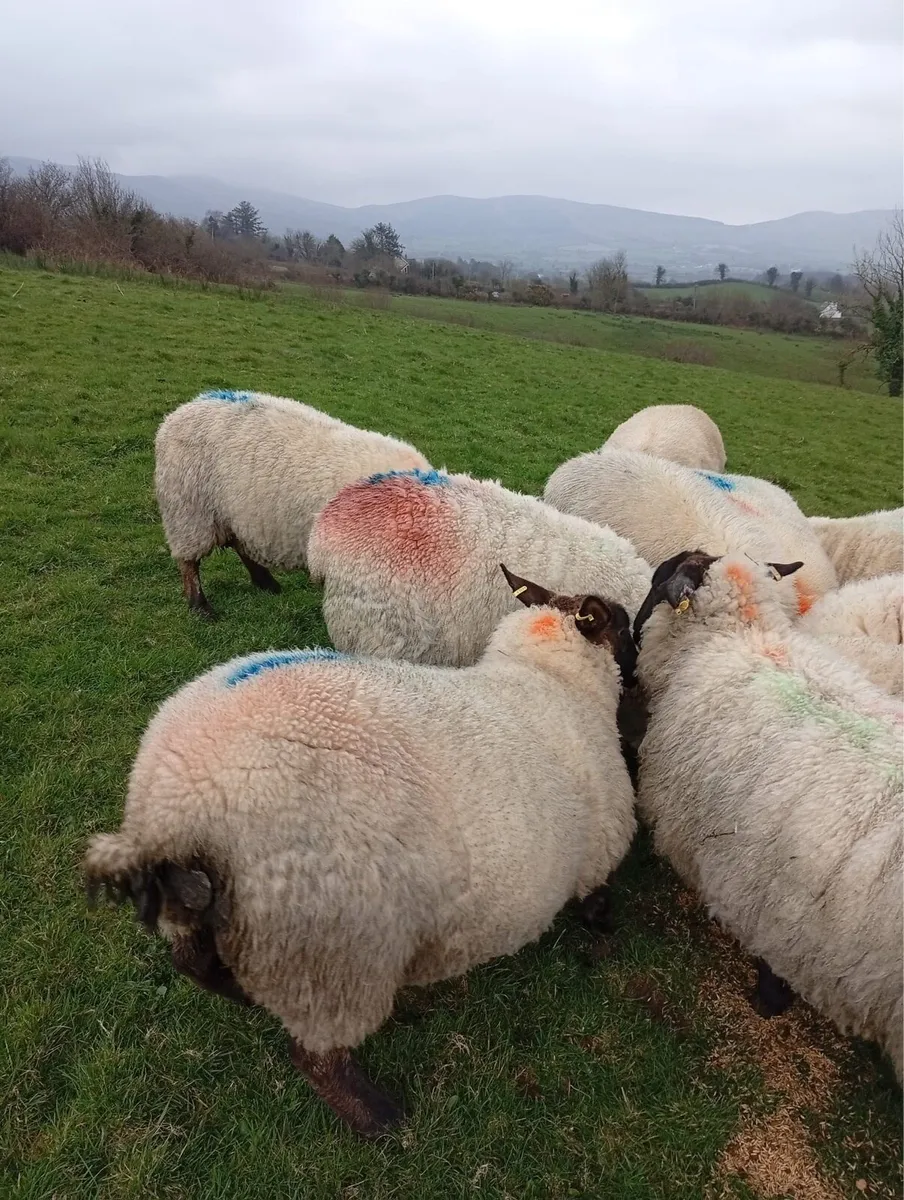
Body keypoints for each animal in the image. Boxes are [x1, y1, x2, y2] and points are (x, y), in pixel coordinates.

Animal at [83, 568, 637, 1137]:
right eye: (623, 624)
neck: (551, 679)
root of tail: (180, 804)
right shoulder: (602, 844)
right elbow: (597, 901)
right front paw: (606, 930)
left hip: (207, 912)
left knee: (191, 960)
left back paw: (242, 993)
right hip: (334, 952)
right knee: (315, 1056)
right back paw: (380, 1118)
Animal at [154, 390, 431, 618]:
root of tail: (184, 409)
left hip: (235, 511)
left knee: (239, 543)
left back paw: (266, 583)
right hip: (188, 509)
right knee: (189, 561)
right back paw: (200, 606)